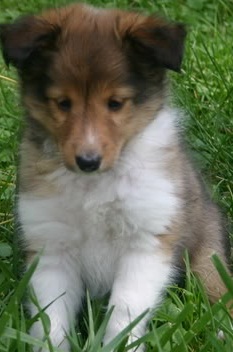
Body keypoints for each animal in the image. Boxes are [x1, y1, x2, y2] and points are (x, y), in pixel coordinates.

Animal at [0, 3, 231, 352]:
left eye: (115, 103)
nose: (87, 161)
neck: (93, 187)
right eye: (63, 103)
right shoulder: (51, 246)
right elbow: (51, 317)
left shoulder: (147, 242)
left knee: (216, 287)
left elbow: (125, 309)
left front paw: (121, 344)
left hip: (206, 249)